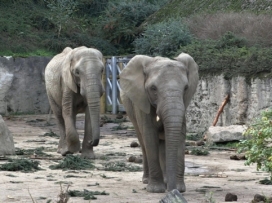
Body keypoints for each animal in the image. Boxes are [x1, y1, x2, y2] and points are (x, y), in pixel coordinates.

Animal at [120, 52, 199, 192]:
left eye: (186, 88)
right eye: (153, 88)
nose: (172, 191)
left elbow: (179, 136)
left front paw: (179, 189)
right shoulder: (142, 100)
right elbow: (150, 136)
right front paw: (156, 190)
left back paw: (166, 180)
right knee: (143, 141)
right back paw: (147, 180)